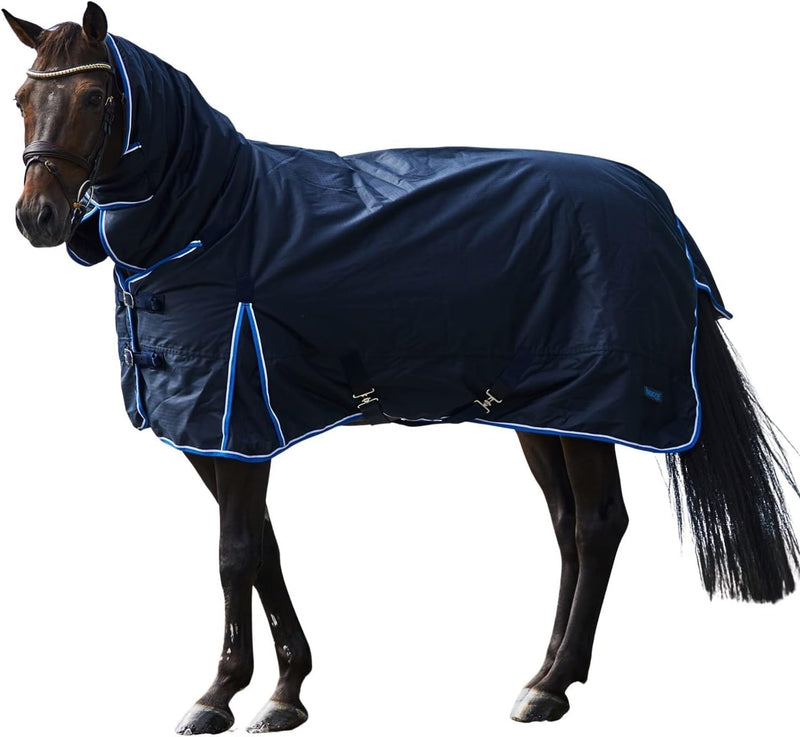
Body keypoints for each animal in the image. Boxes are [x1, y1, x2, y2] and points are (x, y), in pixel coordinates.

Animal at [4, 2, 799, 734]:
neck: (212, 218)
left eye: (96, 97)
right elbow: (265, 548)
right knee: (568, 526)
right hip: (542, 411)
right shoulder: (214, 435)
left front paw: (219, 694)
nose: (37, 217)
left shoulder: (236, 418)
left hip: (592, 409)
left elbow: (235, 554)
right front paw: (287, 690)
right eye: (20, 98)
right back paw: (543, 669)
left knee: (599, 525)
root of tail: (656, 206)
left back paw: (553, 686)